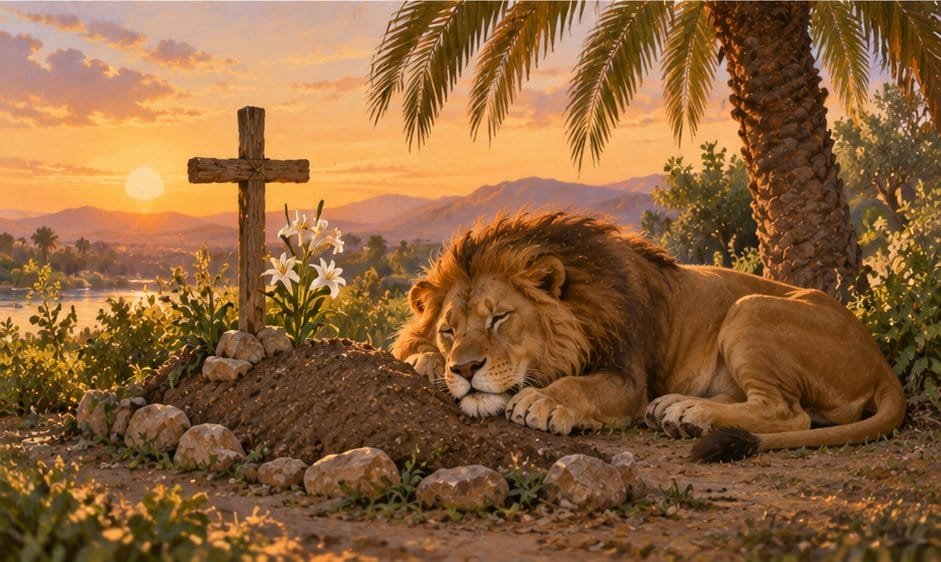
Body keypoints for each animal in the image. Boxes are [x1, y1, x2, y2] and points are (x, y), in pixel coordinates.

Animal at [392, 212, 906, 462]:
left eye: (499, 318)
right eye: (448, 331)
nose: (464, 368)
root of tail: (882, 365)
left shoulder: (628, 379)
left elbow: (578, 385)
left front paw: (543, 400)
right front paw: (423, 362)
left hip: (750, 309)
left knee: (789, 413)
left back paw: (690, 412)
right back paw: (680, 412)